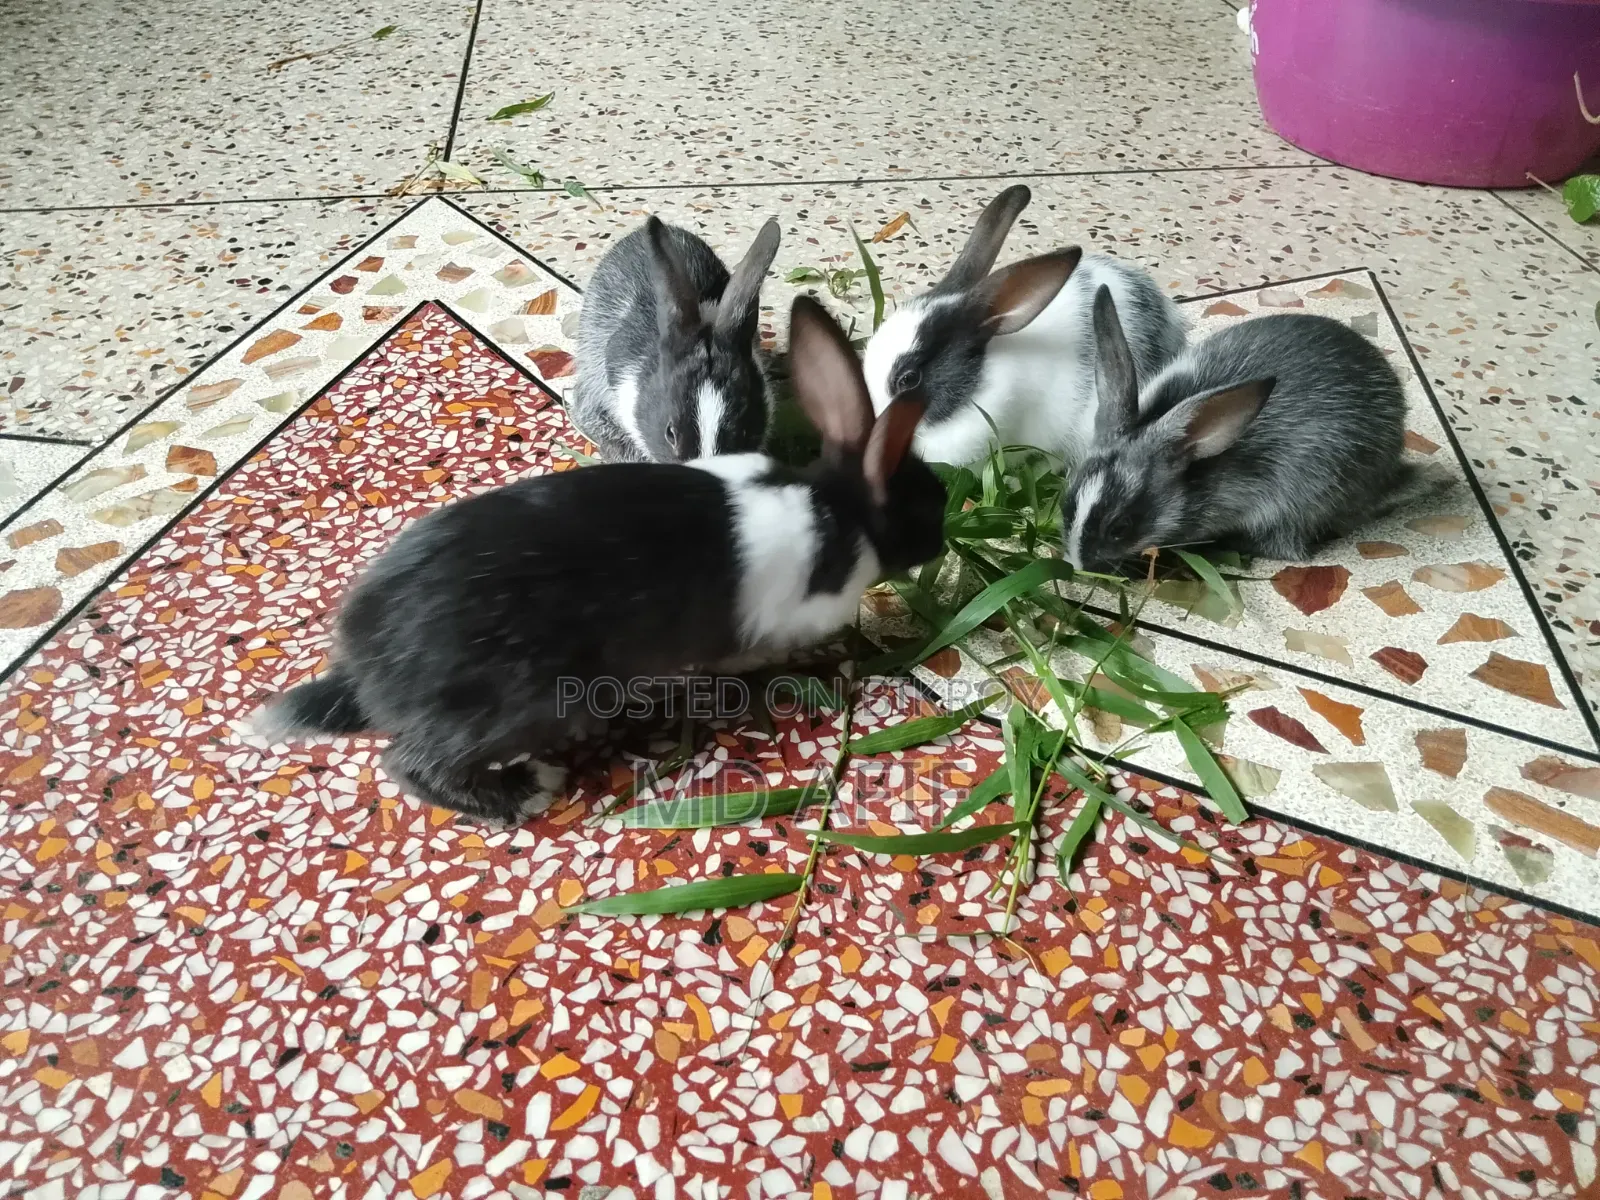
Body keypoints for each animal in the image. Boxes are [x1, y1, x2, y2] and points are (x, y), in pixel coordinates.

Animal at [246, 295, 946, 824]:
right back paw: (526, 791)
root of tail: (369, 665)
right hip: (520, 706)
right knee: (410, 764)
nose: (942, 537)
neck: (839, 507)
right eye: (926, 505)